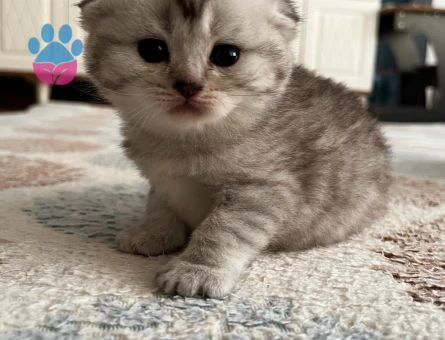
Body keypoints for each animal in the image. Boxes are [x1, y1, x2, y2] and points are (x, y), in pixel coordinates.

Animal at [79, 0, 388, 298]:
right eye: (152, 50)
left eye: (226, 55)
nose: (188, 86)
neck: (185, 140)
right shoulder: (162, 181)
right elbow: (159, 208)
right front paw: (155, 234)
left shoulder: (261, 190)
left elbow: (222, 231)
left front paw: (198, 269)